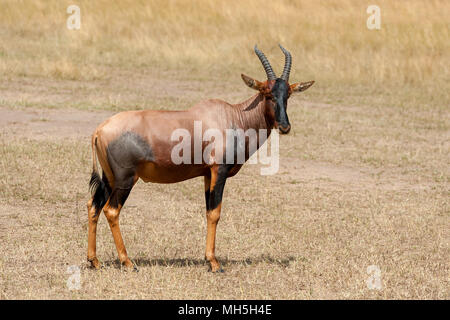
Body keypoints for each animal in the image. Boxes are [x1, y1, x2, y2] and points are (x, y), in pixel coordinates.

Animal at [87, 43, 312, 272]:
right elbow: (215, 212)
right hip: (125, 179)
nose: (284, 126)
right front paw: (214, 263)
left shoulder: (206, 174)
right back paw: (127, 262)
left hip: (109, 178)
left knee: (93, 205)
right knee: (111, 210)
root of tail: (100, 129)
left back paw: (94, 261)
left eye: (288, 94)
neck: (231, 116)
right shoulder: (219, 170)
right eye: (267, 93)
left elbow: (208, 212)